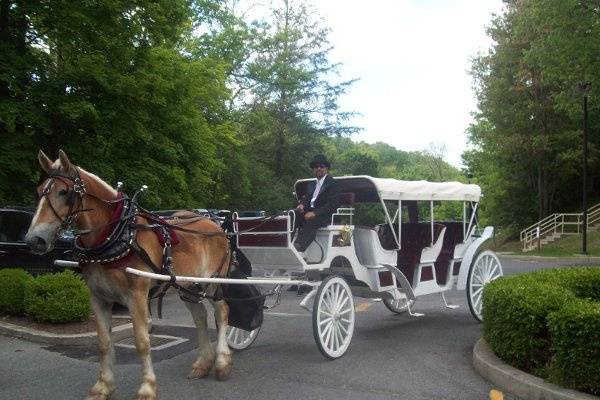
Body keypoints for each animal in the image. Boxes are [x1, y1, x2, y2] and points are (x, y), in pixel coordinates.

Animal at [25, 151, 232, 400]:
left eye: (64, 192)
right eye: (39, 191)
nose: (34, 240)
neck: (118, 237)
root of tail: (216, 226)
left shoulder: (136, 296)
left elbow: (142, 342)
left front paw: (147, 387)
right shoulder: (98, 298)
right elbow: (104, 343)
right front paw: (103, 386)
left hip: (214, 281)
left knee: (221, 313)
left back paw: (221, 363)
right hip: (188, 285)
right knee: (200, 316)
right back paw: (202, 363)